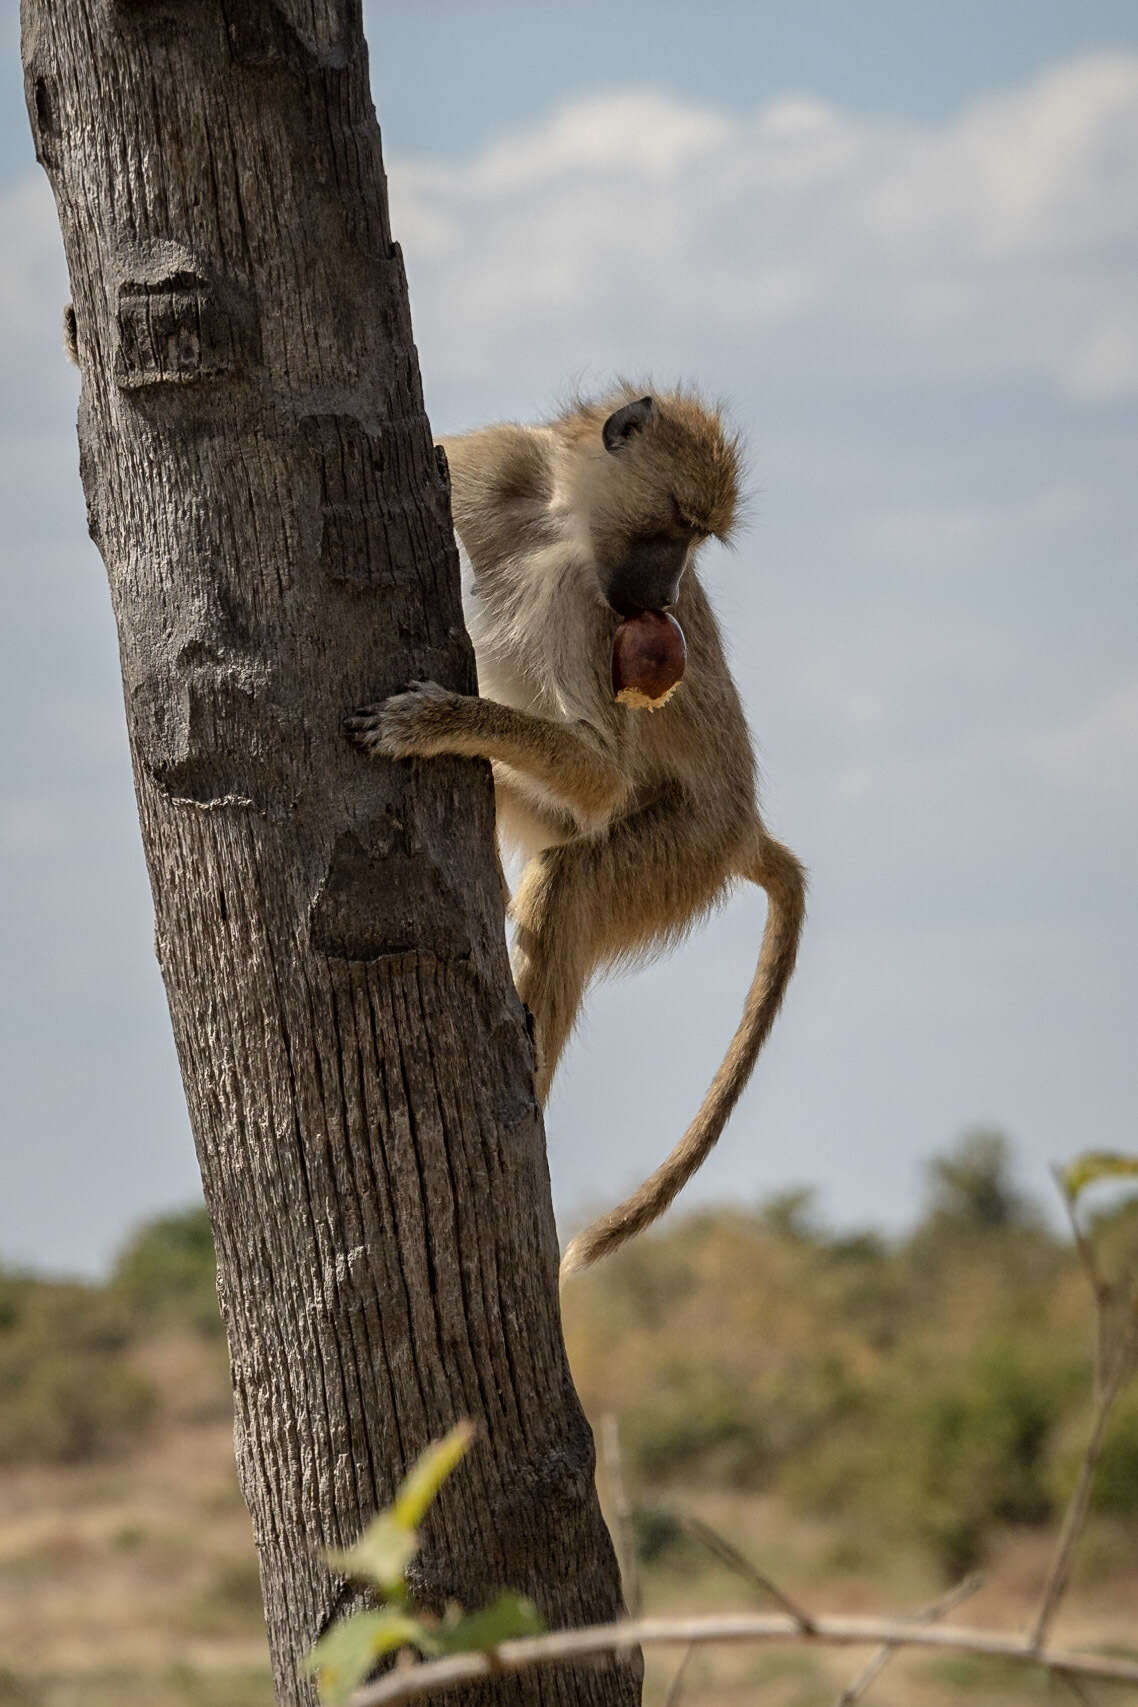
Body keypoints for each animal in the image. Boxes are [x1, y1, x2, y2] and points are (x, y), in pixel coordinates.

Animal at [342, 380, 805, 1276]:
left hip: (681, 850)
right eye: (675, 523)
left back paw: (526, 1078)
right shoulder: (494, 472)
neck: (560, 523)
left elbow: (599, 774)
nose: (667, 601)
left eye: (698, 537)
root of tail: (744, 826)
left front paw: (436, 720)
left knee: (569, 875)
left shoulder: (591, 614)